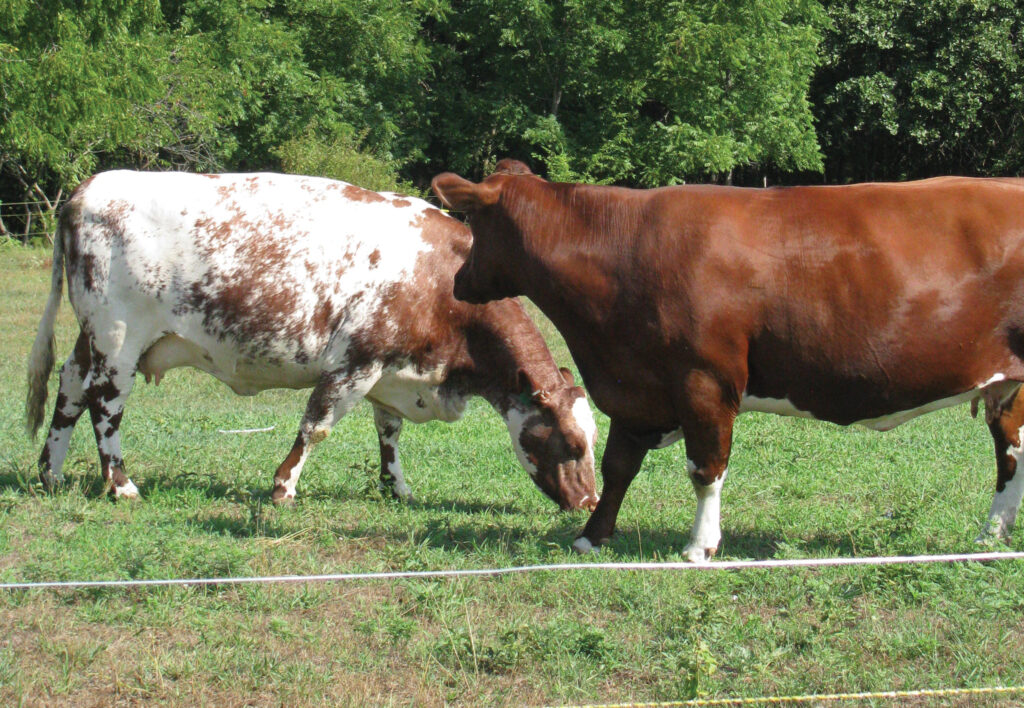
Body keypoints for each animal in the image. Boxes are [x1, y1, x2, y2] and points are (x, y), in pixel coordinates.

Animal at [24, 174, 598, 512]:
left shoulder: (391, 371)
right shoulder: (354, 363)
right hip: (119, 337)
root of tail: (89, 188)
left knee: (70, 388)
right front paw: (283, 487)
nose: (592, 502)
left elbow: (389, 434)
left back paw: (51, 472)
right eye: (572, 444)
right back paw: (121, 484)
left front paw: (397, 488)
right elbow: (315, 426)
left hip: (92, 338)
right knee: (105, 406)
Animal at [432, 161, 1024, 565]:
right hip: (1010, 386)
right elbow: (620, 466)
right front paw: (591, 537)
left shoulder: (704, 379)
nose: (458, 283)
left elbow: (705, 467)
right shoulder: (638, 386)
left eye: (473, 222)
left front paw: (700, 546)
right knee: (1011, 454)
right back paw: (991, 537)